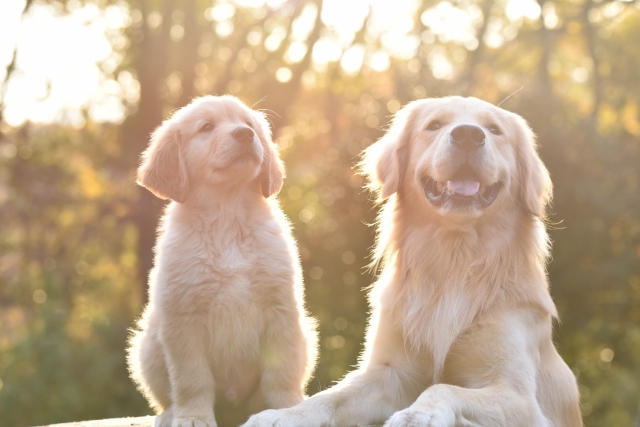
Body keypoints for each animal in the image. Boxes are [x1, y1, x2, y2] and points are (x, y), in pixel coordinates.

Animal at [127, 96, 318, 427]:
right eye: (206, 127)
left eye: (249, 123)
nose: (245, 134)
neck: (227, 215)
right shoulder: (183, 318)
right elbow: (192, 379)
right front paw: (193, 417)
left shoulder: (282, 309)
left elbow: (282, 374)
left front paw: (287, 410)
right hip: (148, 344)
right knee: (167, 395)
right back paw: (171, 414)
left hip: (306, 336)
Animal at [246, 98, 584, 427]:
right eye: (434, 125)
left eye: (494, 129)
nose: (468, 135)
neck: (455, 259)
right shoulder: (390, 371)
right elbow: (331, 396)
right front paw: (284, 415)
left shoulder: (518, 396)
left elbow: (442, 387)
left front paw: (419, 414)